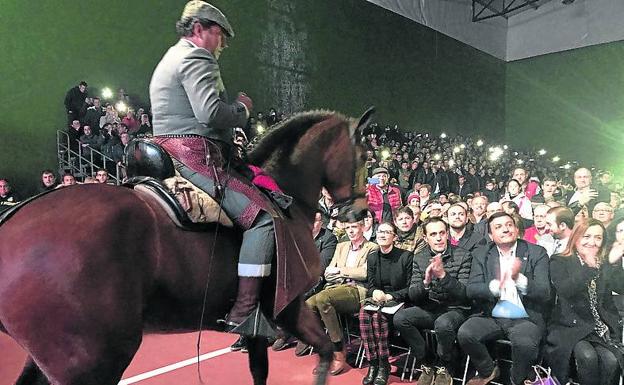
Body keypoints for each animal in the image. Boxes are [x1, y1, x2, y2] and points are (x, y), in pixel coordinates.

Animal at [0, 108, 370, 384]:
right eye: (363, 156)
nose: (361, 212)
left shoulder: (263, 323)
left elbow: (262, 370)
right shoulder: (289, 307)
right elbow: (323, 351)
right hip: (91, 361)